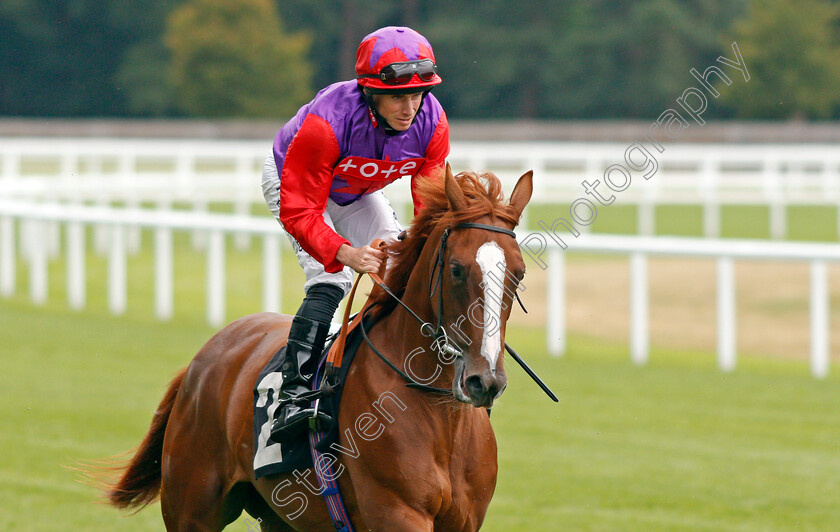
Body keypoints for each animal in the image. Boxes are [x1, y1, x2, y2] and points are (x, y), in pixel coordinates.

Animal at [106, 167, 532, 532]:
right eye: (457, 269)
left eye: (518, 272)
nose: (485, 381)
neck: (441, 417)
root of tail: (203, 358)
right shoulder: (398, 513)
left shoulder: (463, 520)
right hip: (192, 509)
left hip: (279, 514)